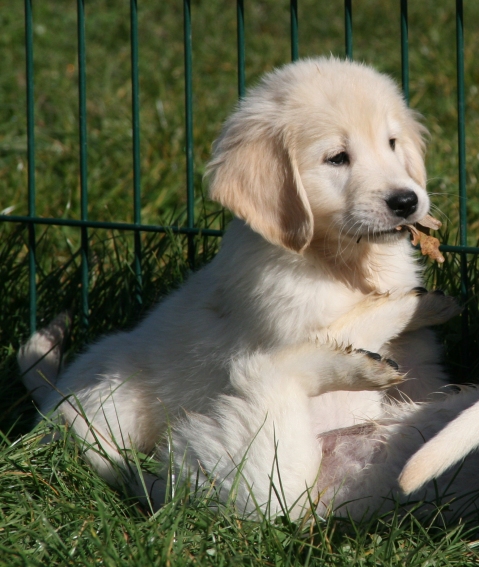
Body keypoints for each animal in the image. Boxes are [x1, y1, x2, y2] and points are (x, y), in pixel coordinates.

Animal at [19, 57, 470, 519]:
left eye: (393, 143)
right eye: (337, 158)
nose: (407, 201)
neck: (343, 264)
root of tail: (55, 405)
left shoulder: (419, 360)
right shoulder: (291, 326)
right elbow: (340, 330)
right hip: (136, 414)